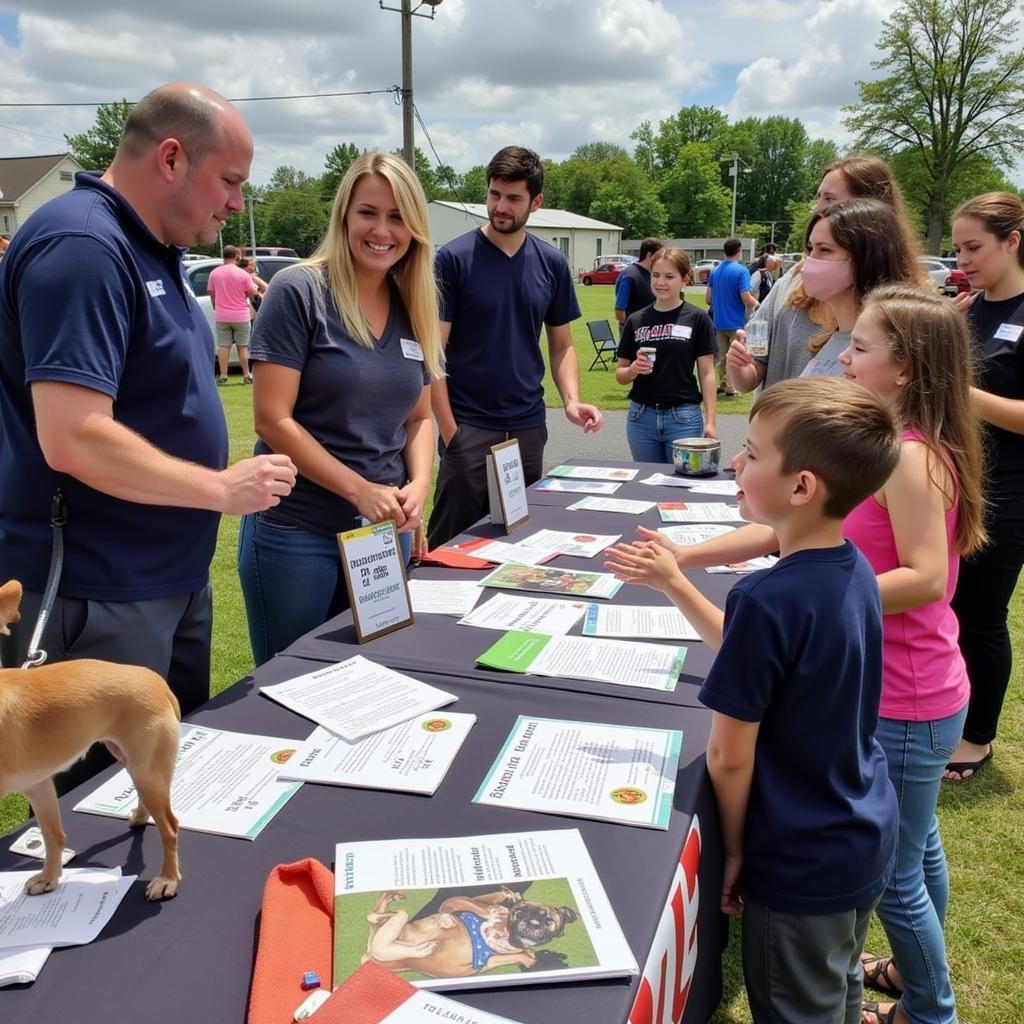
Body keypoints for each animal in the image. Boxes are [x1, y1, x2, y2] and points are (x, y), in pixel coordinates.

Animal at [0, 581, 182, 901]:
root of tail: (158, 682)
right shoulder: (38, 784)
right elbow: (53, 835)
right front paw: (49, 879)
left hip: (147, 767)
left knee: (170, 827)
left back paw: (167, 879)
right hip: (131, 759)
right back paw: (140, 816)